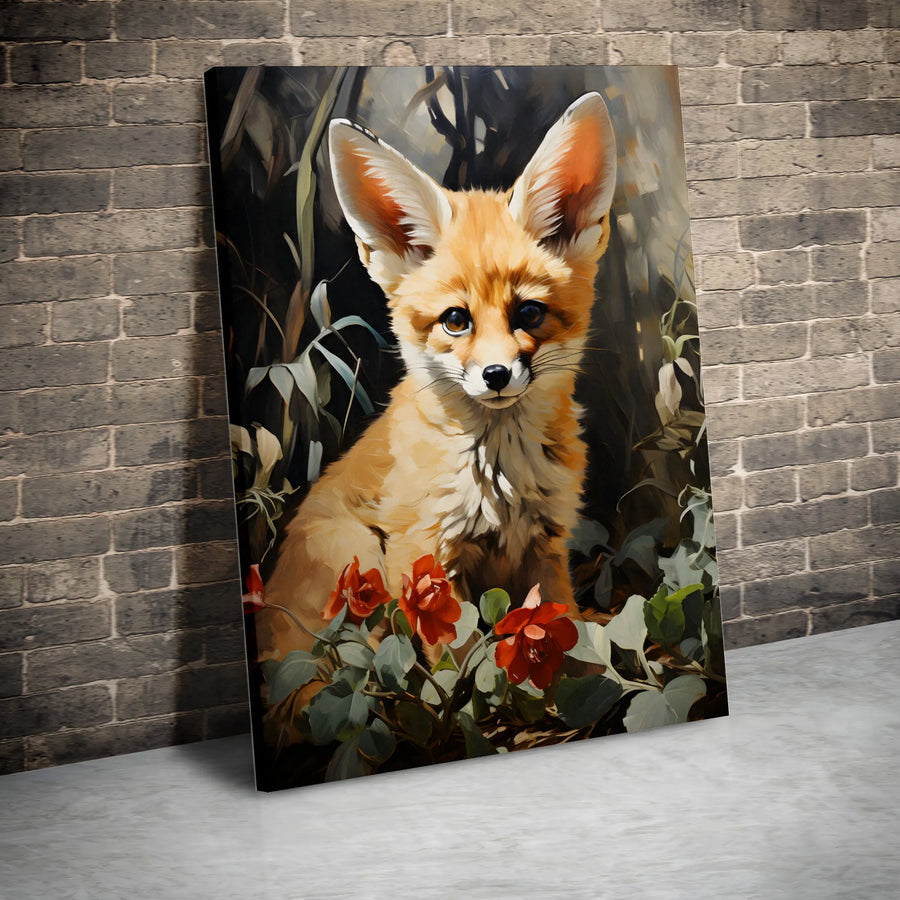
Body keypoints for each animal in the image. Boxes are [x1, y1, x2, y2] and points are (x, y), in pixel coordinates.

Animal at [262, 92, 618, 657]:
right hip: (359, 556)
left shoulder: (547, 546)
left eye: (529, 313)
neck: (500, 479)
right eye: (456, 320)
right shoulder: (425, 555)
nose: (496, 374)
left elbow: (565, 639)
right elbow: (455, 665)